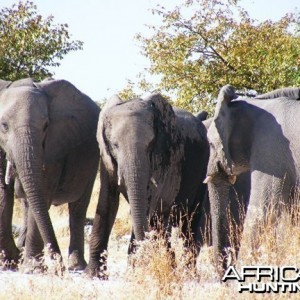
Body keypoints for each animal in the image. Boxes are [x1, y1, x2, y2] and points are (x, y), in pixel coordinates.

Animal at [0, 77, 99, 270]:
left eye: (46, 126)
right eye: (4, 126)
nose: (59, 266)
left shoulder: (54, 145)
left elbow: (43, 193)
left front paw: (31, 268)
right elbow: (3, 195)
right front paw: (9, 262)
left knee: (78, 208)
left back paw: (76, 266)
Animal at [85, 93, 210, 276]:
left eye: (151, 144)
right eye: (115, 145)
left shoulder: (168, 156)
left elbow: (153, 205)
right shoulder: (106, 158)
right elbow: (107, 202)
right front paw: (95, 275)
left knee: (188, 222)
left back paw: (188, 273)